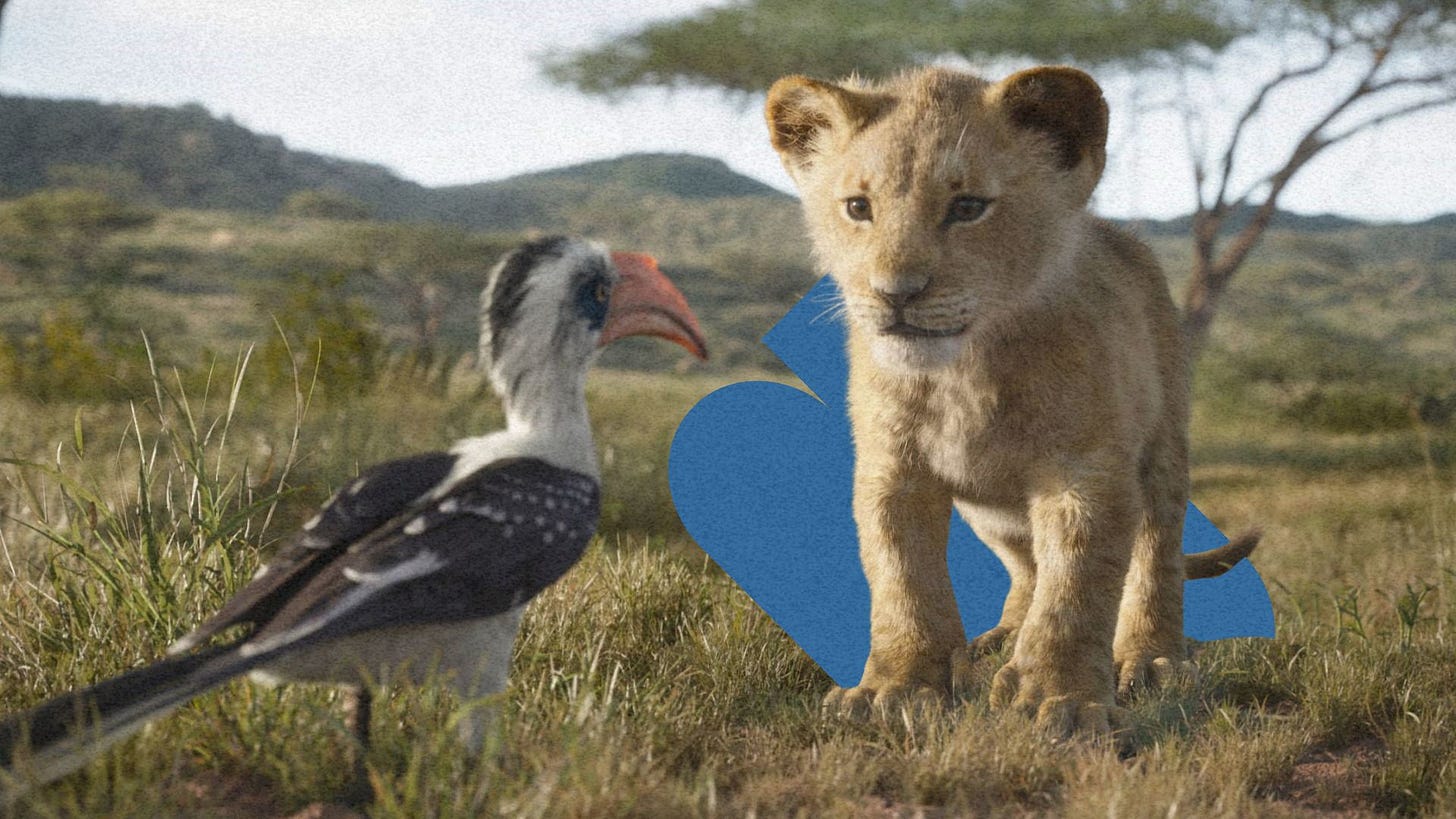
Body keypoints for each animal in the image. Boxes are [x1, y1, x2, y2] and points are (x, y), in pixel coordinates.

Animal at [764, 65, 1258, 735]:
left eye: (968, 207)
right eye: (858, 208)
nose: (896, 293)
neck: (964, 372)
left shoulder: (1085, 471)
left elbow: (1076, 587)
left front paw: (1062, 701)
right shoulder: (893, 470)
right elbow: (902, 578)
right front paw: (896, 688)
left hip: (1162, 448)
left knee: (1156, 551)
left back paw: (1152, 658)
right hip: (990, 509)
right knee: (1026, 564)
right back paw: (999, 638)